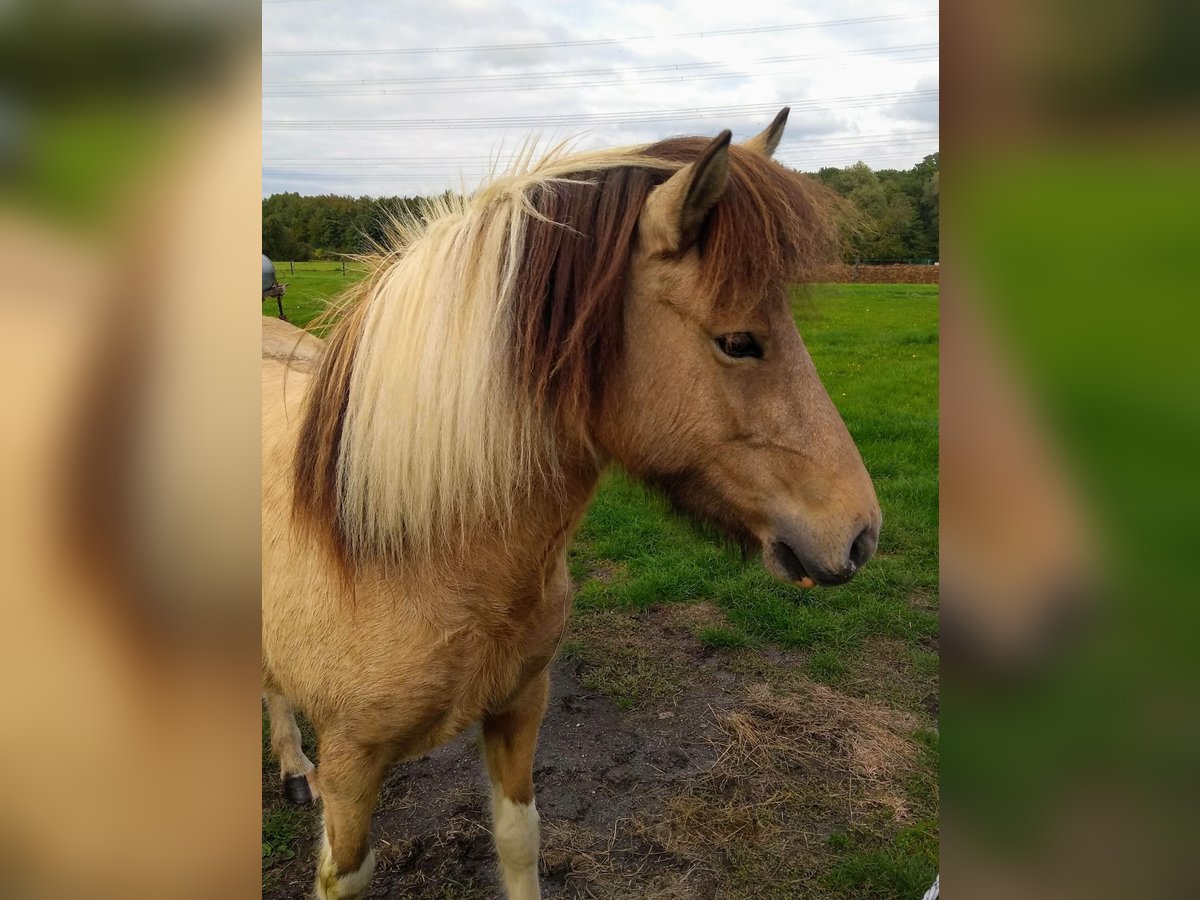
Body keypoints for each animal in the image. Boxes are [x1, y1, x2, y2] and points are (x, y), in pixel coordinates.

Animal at [262, 109, 883, 897]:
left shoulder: (519, 706)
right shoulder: (350, 771)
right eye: (739, 341)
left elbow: (518, 839)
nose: (861, 535)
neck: (411, 551)